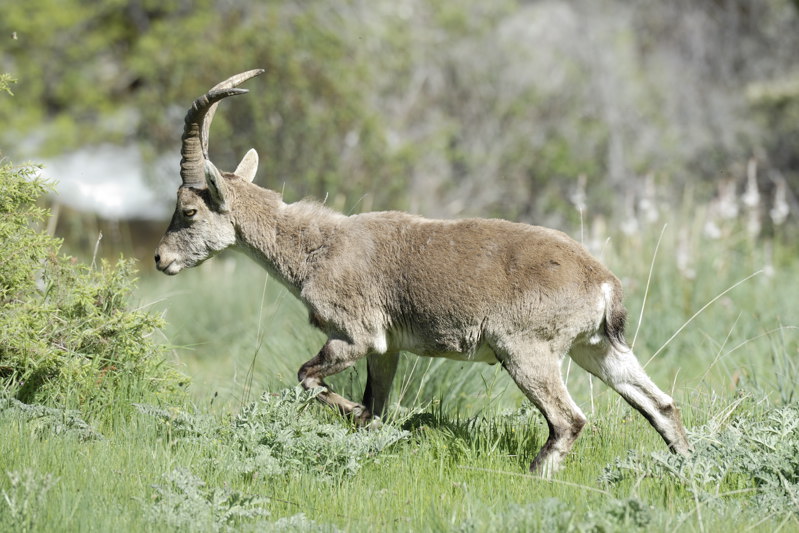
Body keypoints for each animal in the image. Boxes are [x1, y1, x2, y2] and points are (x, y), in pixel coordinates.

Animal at [153, 70, 692, 474]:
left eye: (189, 211)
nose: (161, 259)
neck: (315, 247)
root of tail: (602, 283)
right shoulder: (386, 350)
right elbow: (375, 403)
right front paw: (370, 427)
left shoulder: (355, 336)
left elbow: (309, 378)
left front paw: (355, 415)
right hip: (596, 348)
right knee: (661, 404)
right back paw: (689, 467)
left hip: (526, 350)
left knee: (568, 420)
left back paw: (536, 476)